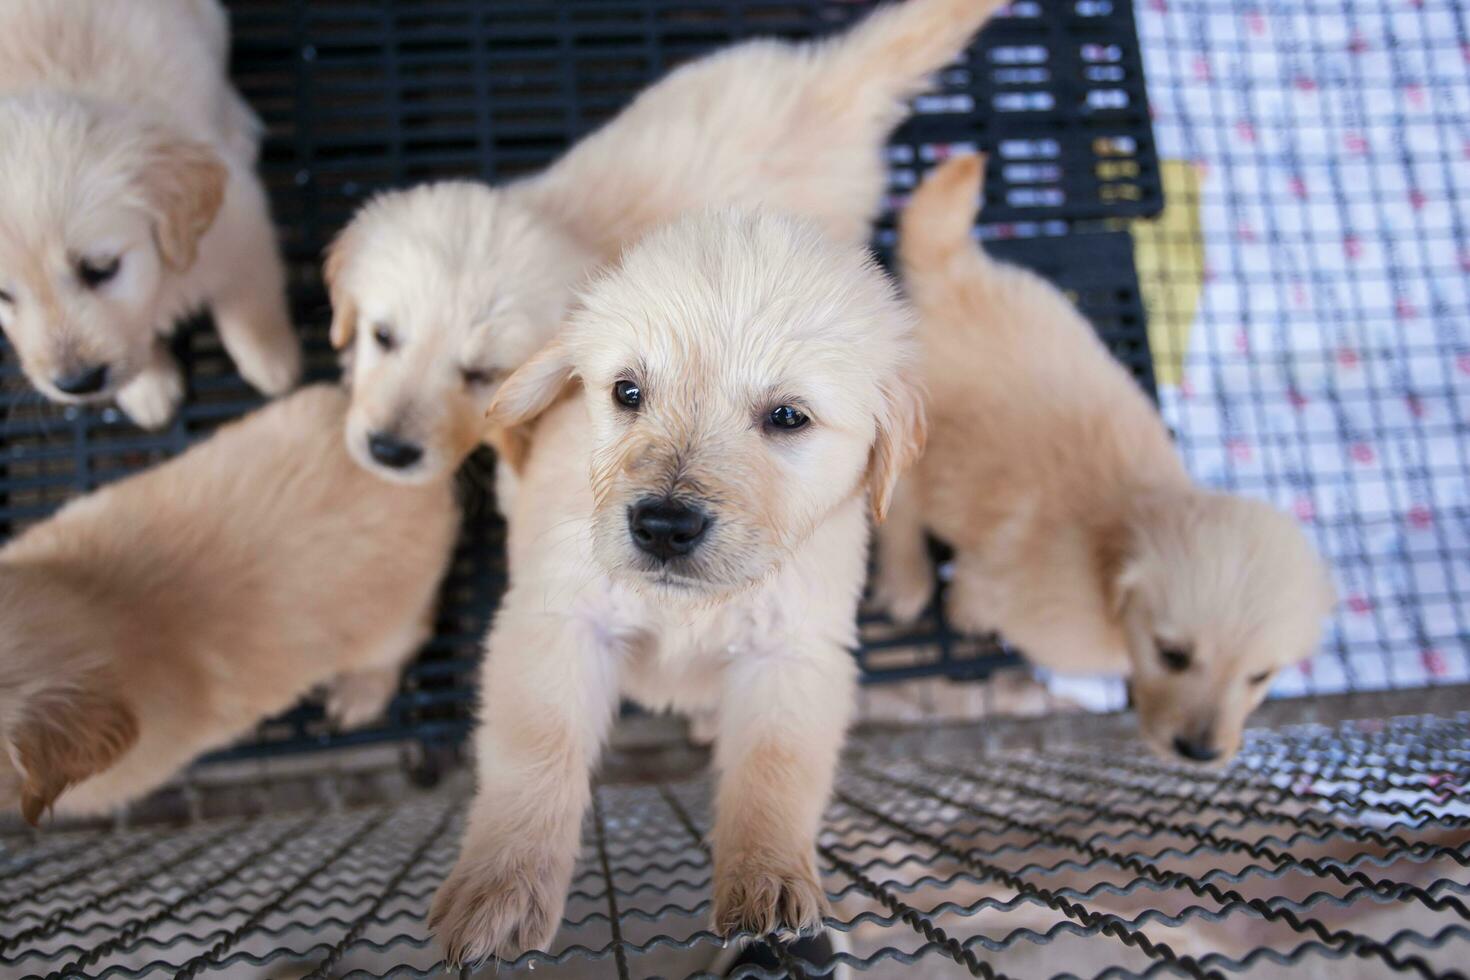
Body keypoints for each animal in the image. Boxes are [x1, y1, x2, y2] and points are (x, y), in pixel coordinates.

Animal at [0, 0, 298, 429]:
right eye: (3, 294)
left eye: (100, 269)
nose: (78, 383)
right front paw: (148, 388)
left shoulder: (239, 224)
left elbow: (250, 306)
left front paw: (274, 361)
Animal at [429, 211, 923, 969]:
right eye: (628, 392)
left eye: (788, 416)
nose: (663, 526)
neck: (690, 603)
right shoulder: (557, 624)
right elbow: (535, 750)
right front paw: (501, 886)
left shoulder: (794, 653)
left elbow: (773, 771)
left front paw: (768, 882)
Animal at [876, 155, 1340, 764]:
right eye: (1172, 653)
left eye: (1261, 675)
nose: (1199, 752)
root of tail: (951, 273)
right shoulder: (999, 585)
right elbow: (974, 597)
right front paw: (963, 617)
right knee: (901, 509)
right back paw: (907, 581)